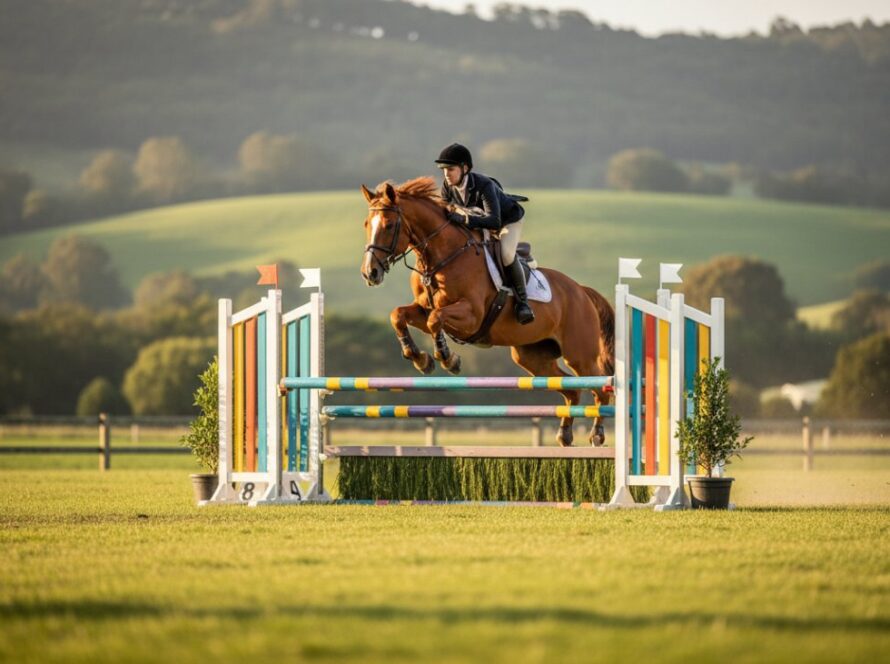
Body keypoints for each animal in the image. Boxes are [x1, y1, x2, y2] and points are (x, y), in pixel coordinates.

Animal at [359, 177, 615, 447]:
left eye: (388, 225)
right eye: (366, 224)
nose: (369, 273)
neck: (442, 257)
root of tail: (581, 290)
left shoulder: (472, 316)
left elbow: (435, 320)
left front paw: (448, 359)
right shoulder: (423, 309)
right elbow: (398, 315)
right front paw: (420, 359)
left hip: (579, 355)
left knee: (600, 388)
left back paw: (597, 434)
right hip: (532, 357)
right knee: (572, 389)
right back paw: (565, 434)